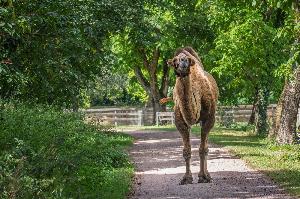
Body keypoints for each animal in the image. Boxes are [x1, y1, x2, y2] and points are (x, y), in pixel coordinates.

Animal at [166, 47, 218, 185]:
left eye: (188, 60)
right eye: (175, 60)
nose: (183, 61)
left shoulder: (209, 119)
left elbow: (202, 149)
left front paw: (203, 177)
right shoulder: (180, 121)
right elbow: (186, 151)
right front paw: (186, 178)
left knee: (206, 146)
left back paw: (208, 175)